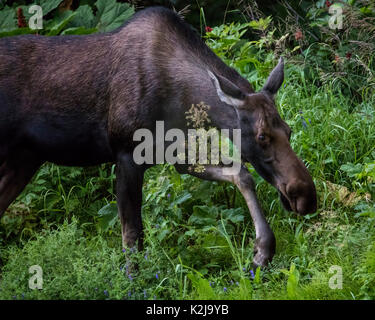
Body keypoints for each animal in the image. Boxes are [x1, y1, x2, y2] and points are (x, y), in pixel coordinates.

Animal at [0, 8, 318, 268]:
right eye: (262, 135)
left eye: (288, 130)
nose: (305, 196)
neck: (179, 99)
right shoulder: (126, 154)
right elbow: (132, 237)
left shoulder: (174, 153)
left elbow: (242, 174)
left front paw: (262, 251)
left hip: (24, 160)